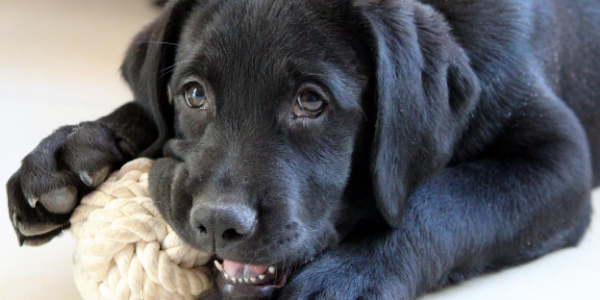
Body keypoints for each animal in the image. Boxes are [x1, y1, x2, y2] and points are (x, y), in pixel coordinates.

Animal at [5, 0, 600, 298]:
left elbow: (444, 200)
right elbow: (145, 113)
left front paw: (348, 276)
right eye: (193, 94)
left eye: (310, 101)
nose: (218, 224)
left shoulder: (560, 160)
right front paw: (71, 151)